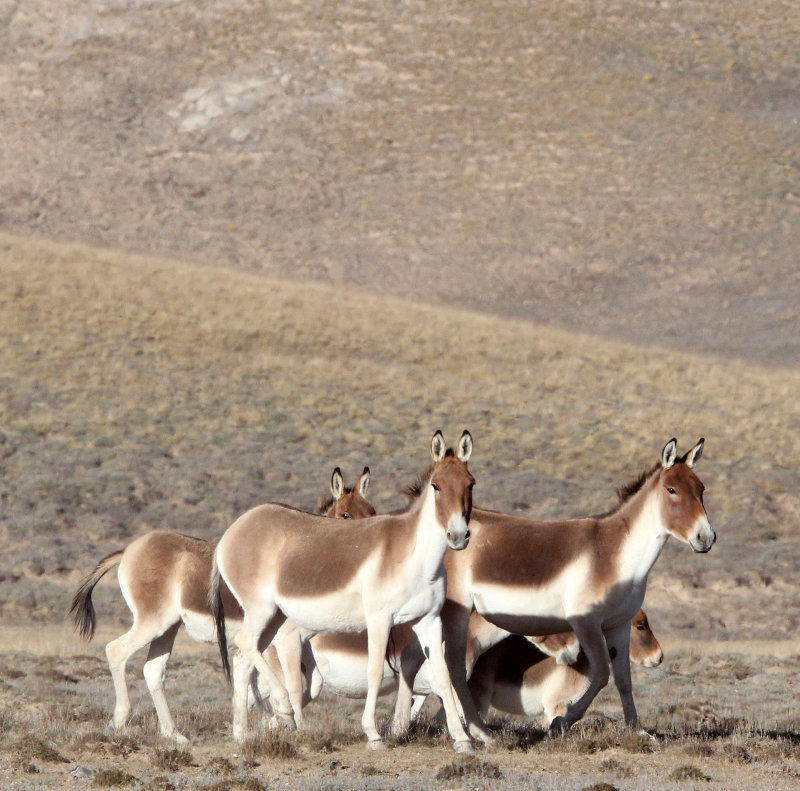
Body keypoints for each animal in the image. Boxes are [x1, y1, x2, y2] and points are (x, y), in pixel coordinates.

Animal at [69, 468, 372, 744]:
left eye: (371, 511)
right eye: (345, 515)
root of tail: (129, 550)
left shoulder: (301, 642)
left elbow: (312, 685)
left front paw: (261, 723)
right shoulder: (284, 640)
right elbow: (294, 686)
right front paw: (285, 724)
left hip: (168, 627)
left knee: (153, 671)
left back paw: (174, 734)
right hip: (152, 621)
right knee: (116, 650)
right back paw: (120, 721)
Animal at [209, 430, 478, 752]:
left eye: (470, 483)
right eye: (436, 486)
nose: (458, 536)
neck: (413, 557)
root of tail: (233, 530)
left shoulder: (429, 619)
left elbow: (442, 675)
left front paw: (463, 740)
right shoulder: (379, 618)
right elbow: (374, 672)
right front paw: (373, 735)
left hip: (274, 616)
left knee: (242, 660)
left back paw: (241, 735)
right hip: (261, 610)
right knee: (246, 646)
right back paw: (283, 710)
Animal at [394, 440, 712, 744]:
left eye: (701, 488)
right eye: (672, 489)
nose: (706, 538)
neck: (614, 552)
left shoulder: (618, 625)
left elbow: (624, 680)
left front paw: (638, 732)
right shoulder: (586, 623)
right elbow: (601, 675)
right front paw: (559, 725)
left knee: (414, 659)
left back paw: (402, 728)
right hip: (455, 612)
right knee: (454, 668)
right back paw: (476, 732)